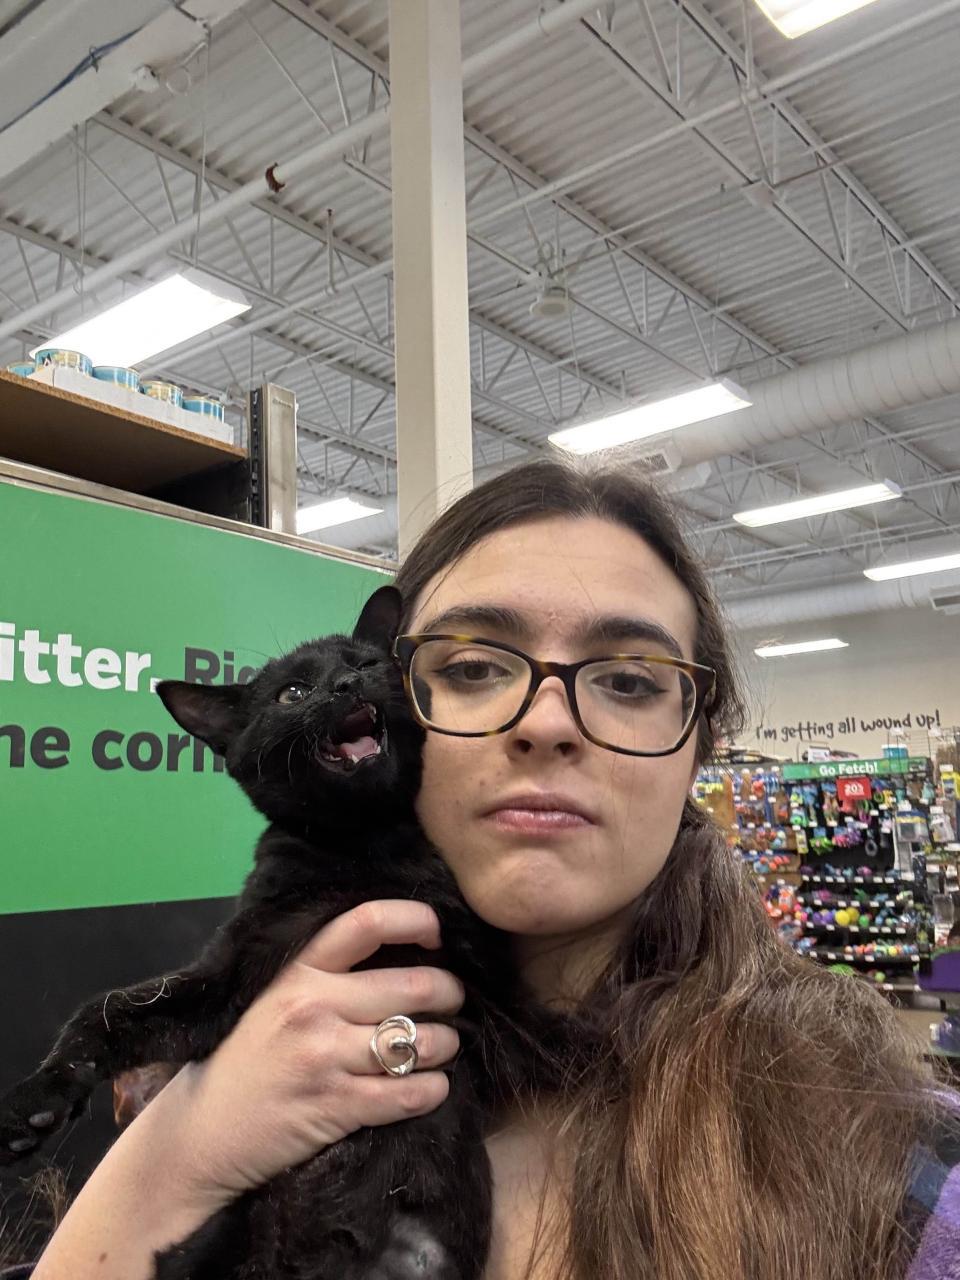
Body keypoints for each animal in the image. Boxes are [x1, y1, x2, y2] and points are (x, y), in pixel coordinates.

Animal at [0, 586, 561, 1279]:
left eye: (367, 661)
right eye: (293, 693)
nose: (349, 683)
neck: (362, 853)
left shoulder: (481, 985)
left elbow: (565, 1036)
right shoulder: (228, 978)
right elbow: (108, 1012)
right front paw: (35, 1101)